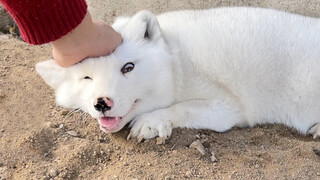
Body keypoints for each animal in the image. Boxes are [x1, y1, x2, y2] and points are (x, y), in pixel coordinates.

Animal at [35, 7, 320, 142]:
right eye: (86, 78)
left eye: (128, 67)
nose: (102, 103)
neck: (177, 62)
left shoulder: (229, 108)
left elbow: (184, 108)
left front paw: (150, 121)